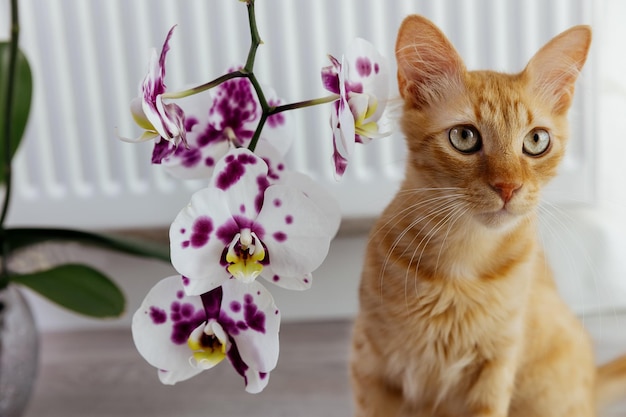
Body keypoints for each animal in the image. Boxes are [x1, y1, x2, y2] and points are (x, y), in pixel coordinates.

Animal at [348, 13, 624, 416]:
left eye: (536, 140)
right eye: (464, 137)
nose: (508, 187)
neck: (462, 266)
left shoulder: (495, 368)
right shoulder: (371, 366)